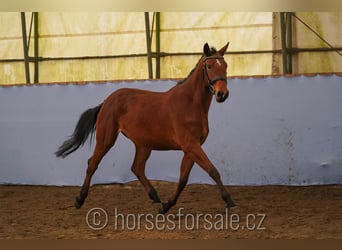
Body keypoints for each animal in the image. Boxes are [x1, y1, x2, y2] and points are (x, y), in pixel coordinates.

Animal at [56, 42, 238, 214]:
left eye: (225, 65)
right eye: (209, 66)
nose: (222, 94)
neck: (190, 104)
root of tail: (107, 101)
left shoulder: (192, 148)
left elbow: (183, 179)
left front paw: (166, 206)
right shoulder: (190, 145)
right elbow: (213, 171)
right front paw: (230, 203)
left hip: (143, 145)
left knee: (137, 168)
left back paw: (156, 198)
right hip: (106, 140)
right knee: (92, 164)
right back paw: (80, 199)